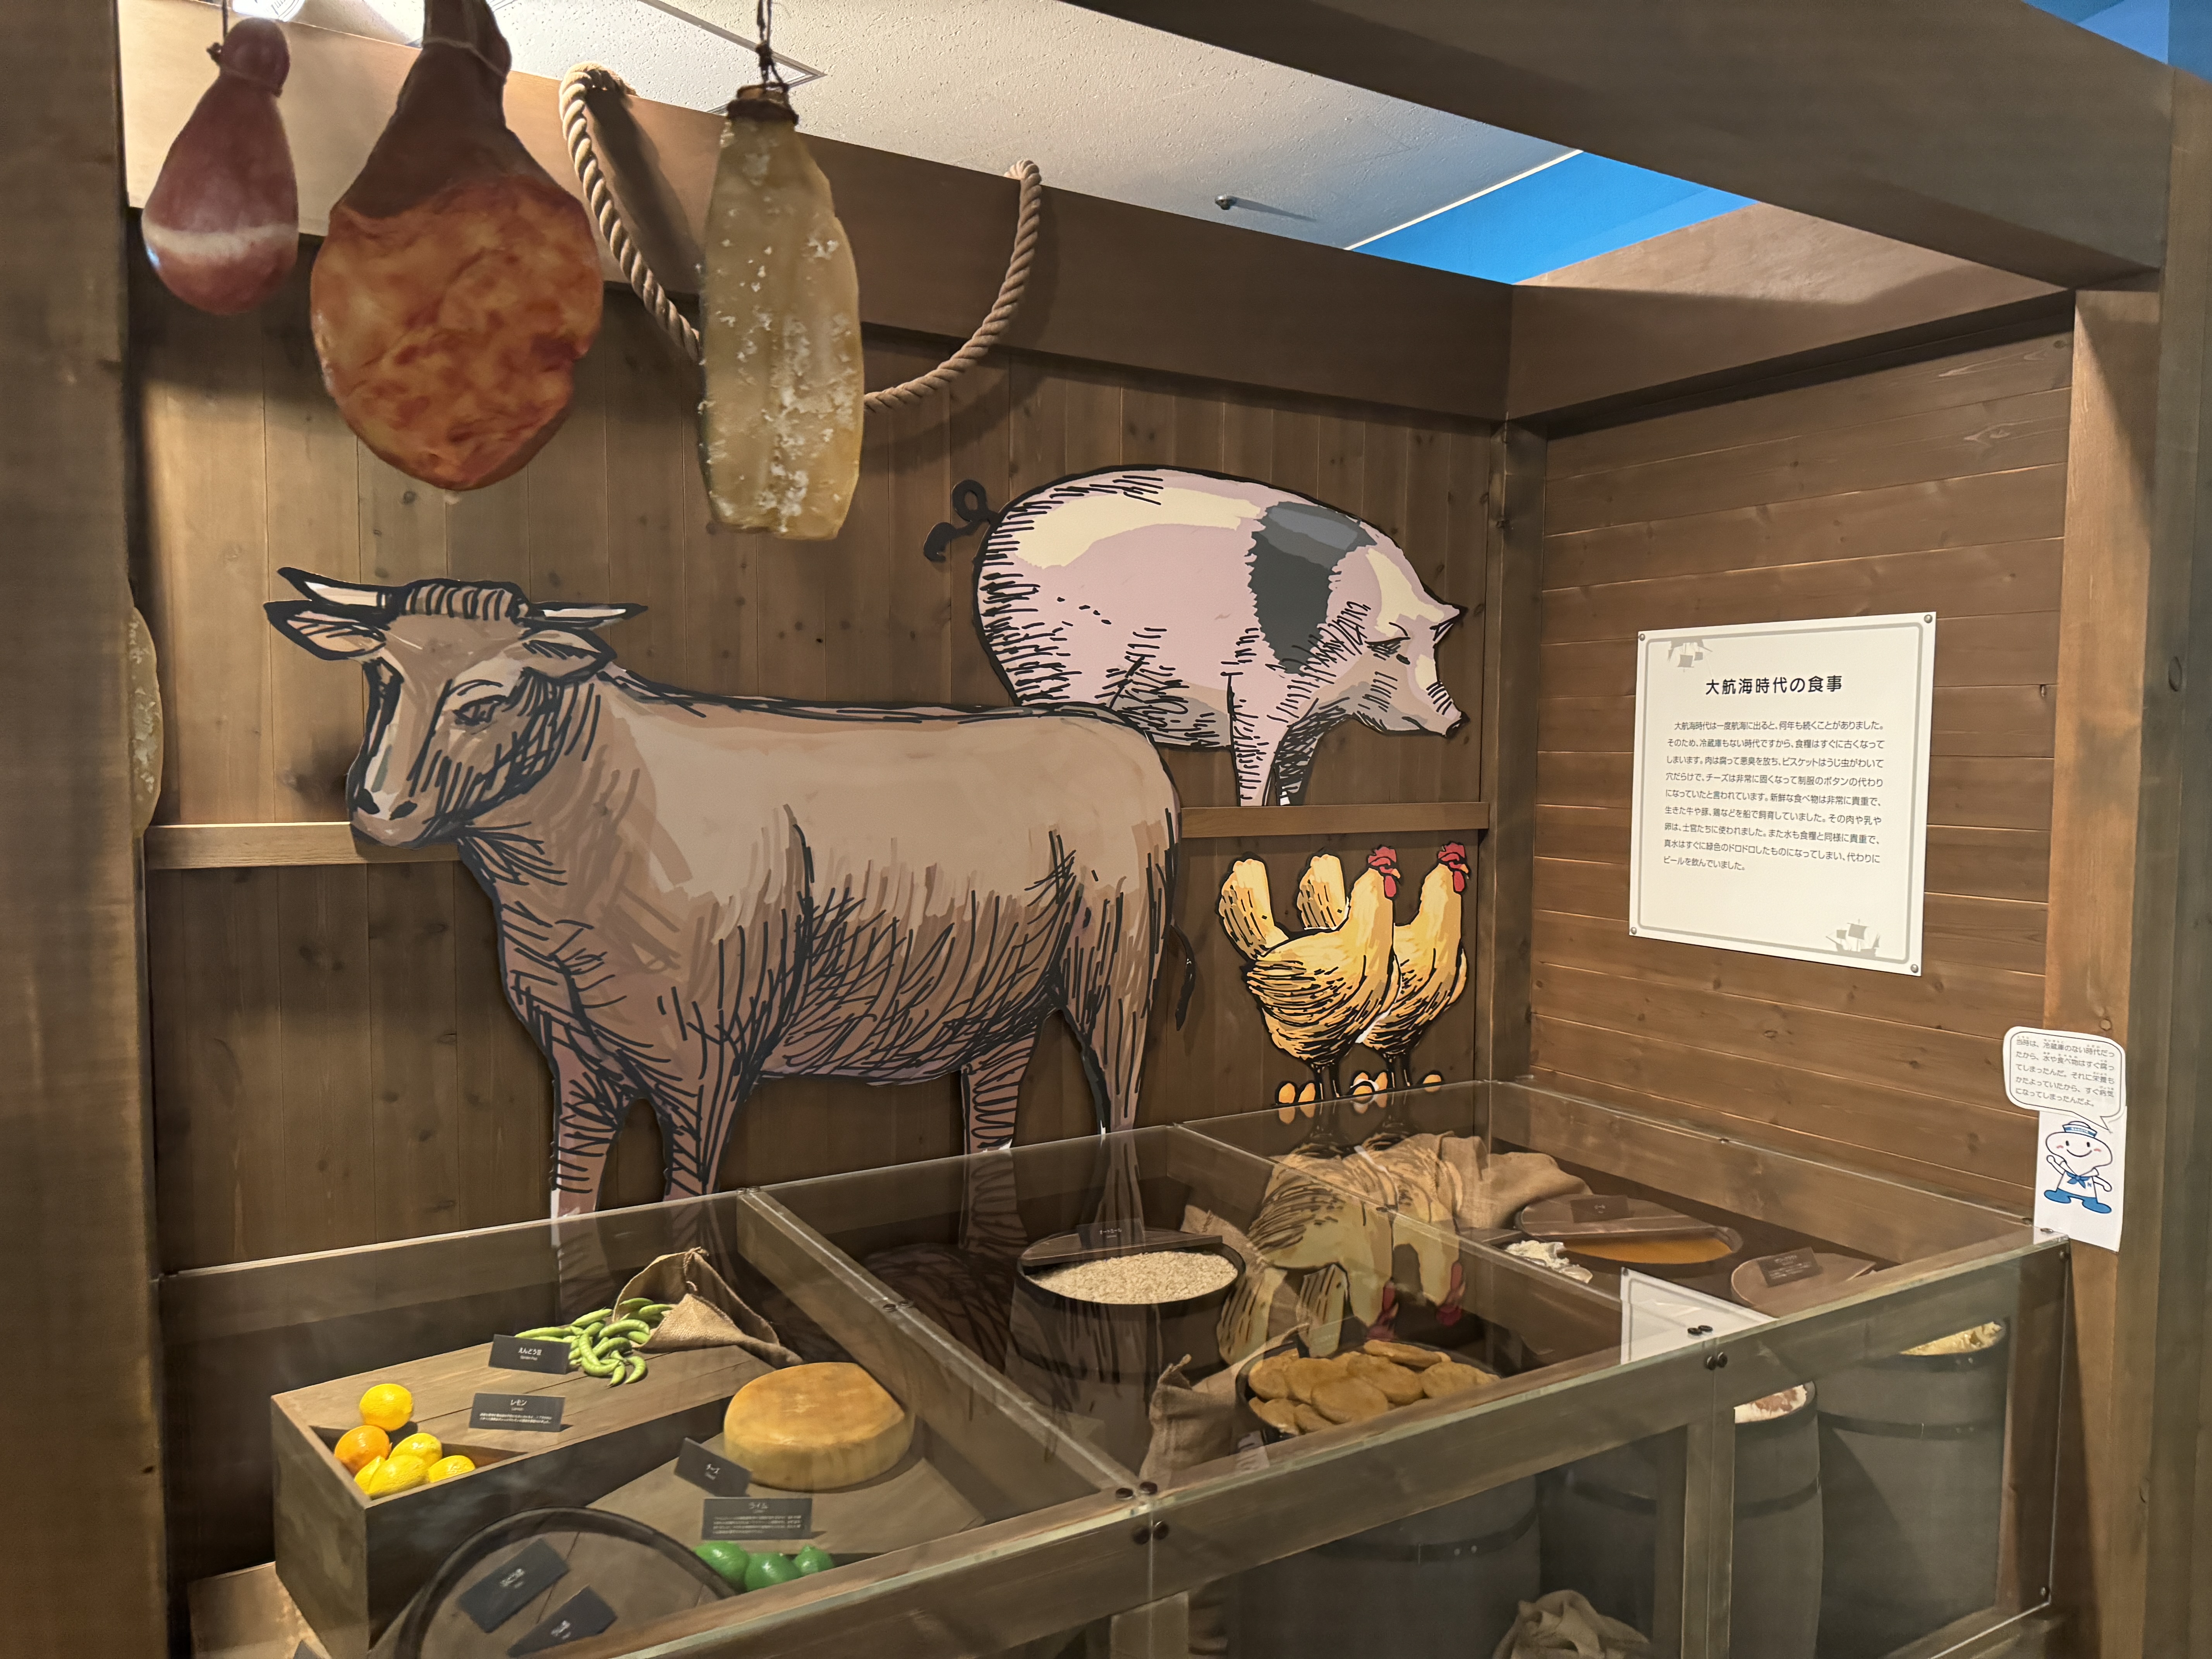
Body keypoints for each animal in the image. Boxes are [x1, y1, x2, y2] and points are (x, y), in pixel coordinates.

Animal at [268, 569, 1178, 1216]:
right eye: (382, 678)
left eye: (486, 700)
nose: (378, 808)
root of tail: (1118, 732)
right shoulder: (574, 1053)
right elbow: (571, 1200)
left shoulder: (705, 1057)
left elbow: (683, 1205)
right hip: (1002, 998)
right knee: (993, 1121)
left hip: (1118, 973)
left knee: (1122, 1104)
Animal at [972, 468, 1467, 806]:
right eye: (1397, 654)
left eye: (1433, 648)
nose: (1459, 720)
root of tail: (1000, 531)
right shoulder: (1262, 688)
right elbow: (1254, 760)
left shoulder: (1311, 725)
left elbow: (1293, 781)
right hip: (1057, 661)